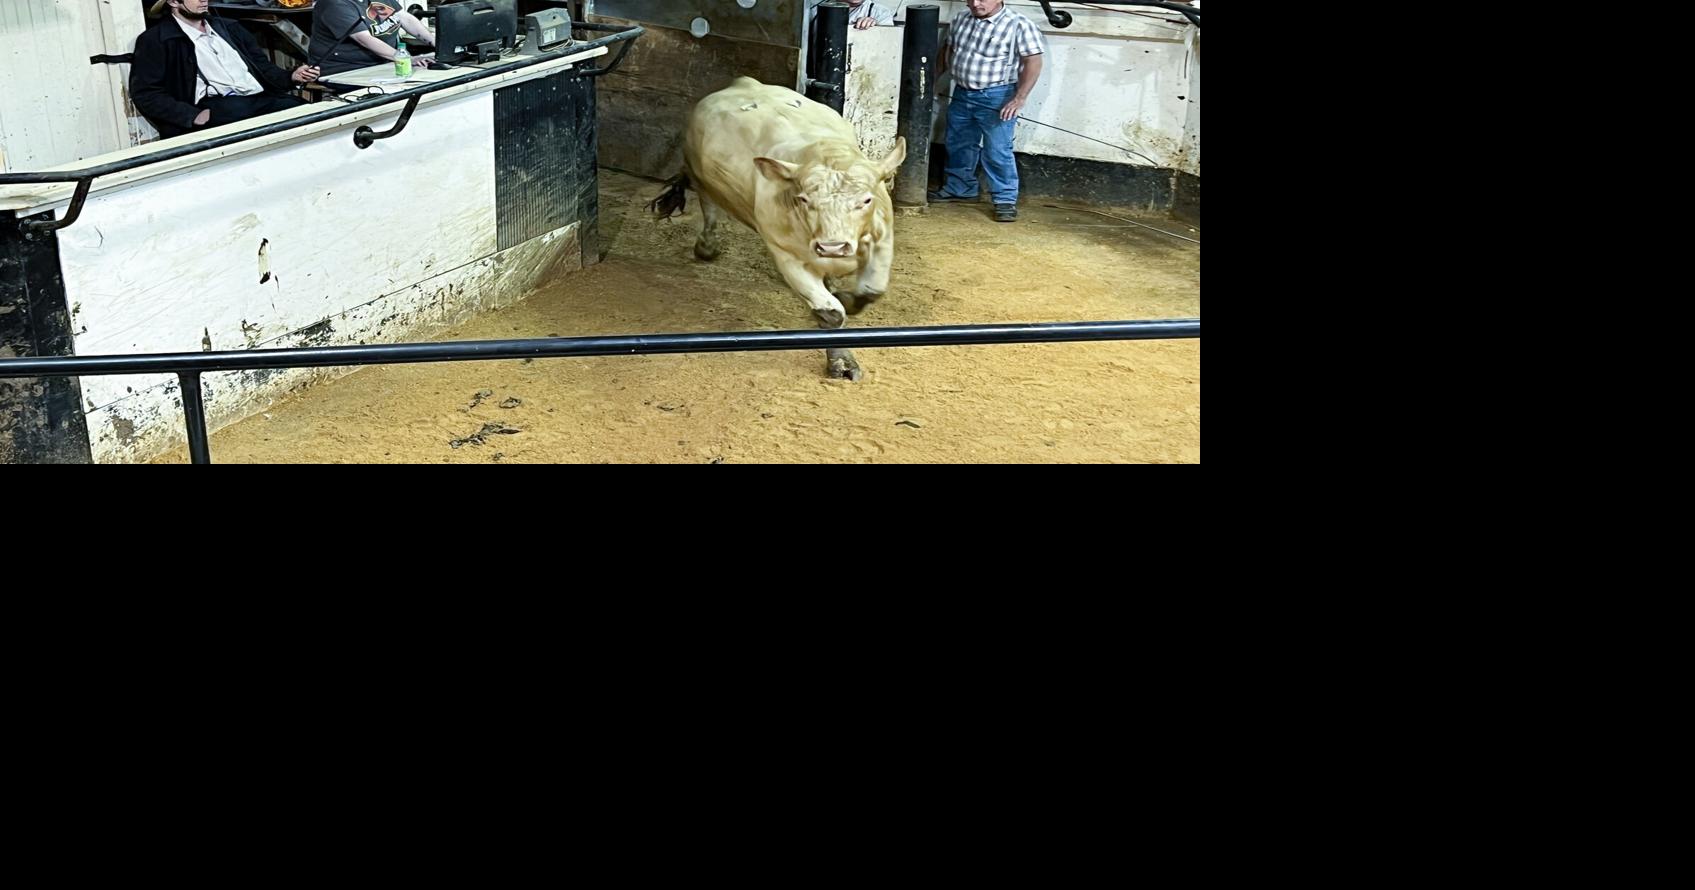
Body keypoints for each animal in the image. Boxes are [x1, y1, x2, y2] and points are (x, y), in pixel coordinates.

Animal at [650, 77, 907, 381]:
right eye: (804, 199)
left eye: (866, 200)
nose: (832, 247)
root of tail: (745, 82)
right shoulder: (786, 255)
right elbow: (831, 313)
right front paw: (841, 361)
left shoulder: (882, 241)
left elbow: (870, 291)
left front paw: (846, 297)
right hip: (702, 178)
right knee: (709, 206)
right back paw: (706, 247)